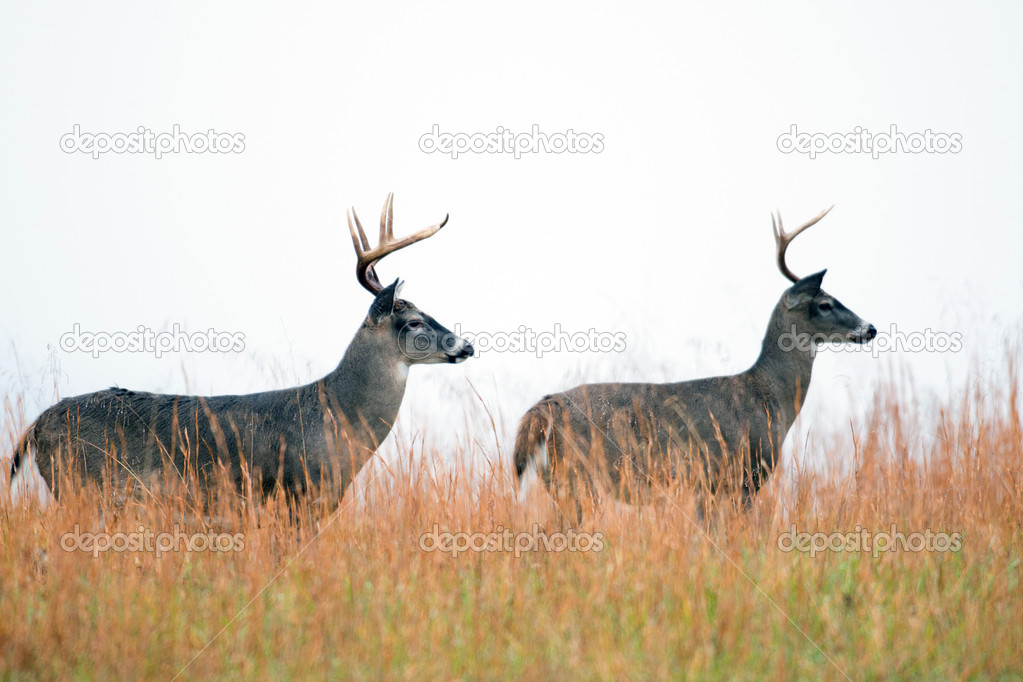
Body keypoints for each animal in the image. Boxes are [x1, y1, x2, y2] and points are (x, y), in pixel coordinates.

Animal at [7, 194, 472, 509]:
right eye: (413, 321)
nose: (466, 345)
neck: (336, 414)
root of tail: (36, 425)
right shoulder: (295, 492)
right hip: (82, 487)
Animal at [515, 205, 875, 519]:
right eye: (825, 304)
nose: (870, 328)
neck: (768, 397)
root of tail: (546, 407)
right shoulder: (741, 475)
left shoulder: (709, 487)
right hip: (579, 476)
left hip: (557, 479)